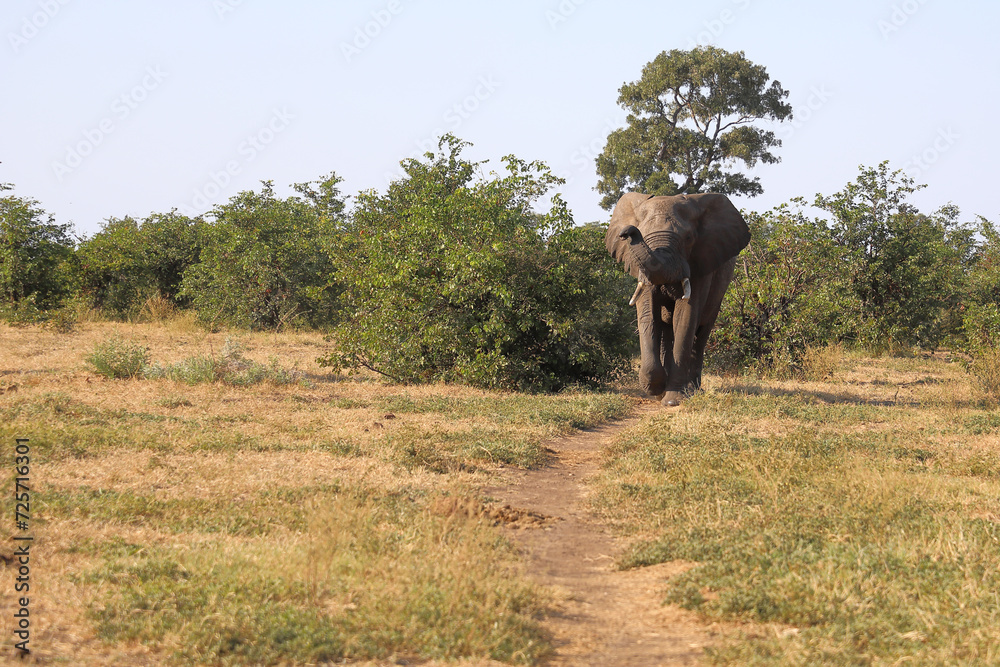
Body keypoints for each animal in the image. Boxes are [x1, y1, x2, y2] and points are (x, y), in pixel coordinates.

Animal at [606, 192, 750, 406]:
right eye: (643, 235)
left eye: (688, 238)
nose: (627, 232)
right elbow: (648, 314)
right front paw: (656, 389)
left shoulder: (701, 263)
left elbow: (685, 317)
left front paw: (673, 400)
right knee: (666, 329)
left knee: (702, 332)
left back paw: (693, 389)